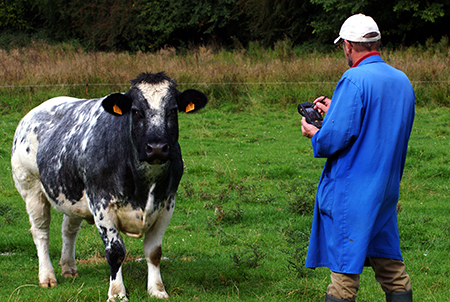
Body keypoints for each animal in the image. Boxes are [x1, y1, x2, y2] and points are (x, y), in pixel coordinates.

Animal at [10, 72, 207, 300]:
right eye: (136, 111)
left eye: (173, 110)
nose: (156, 147)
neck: (144, 183)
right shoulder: (102, 204)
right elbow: (115, 252)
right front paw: (117, 293)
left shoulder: (167, 203)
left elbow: (154, 251)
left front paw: (157, 289)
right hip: (31, 189)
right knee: (41, 232)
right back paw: (47, 276)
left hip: (73, 193)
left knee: (68, 229)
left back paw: (69, 267)